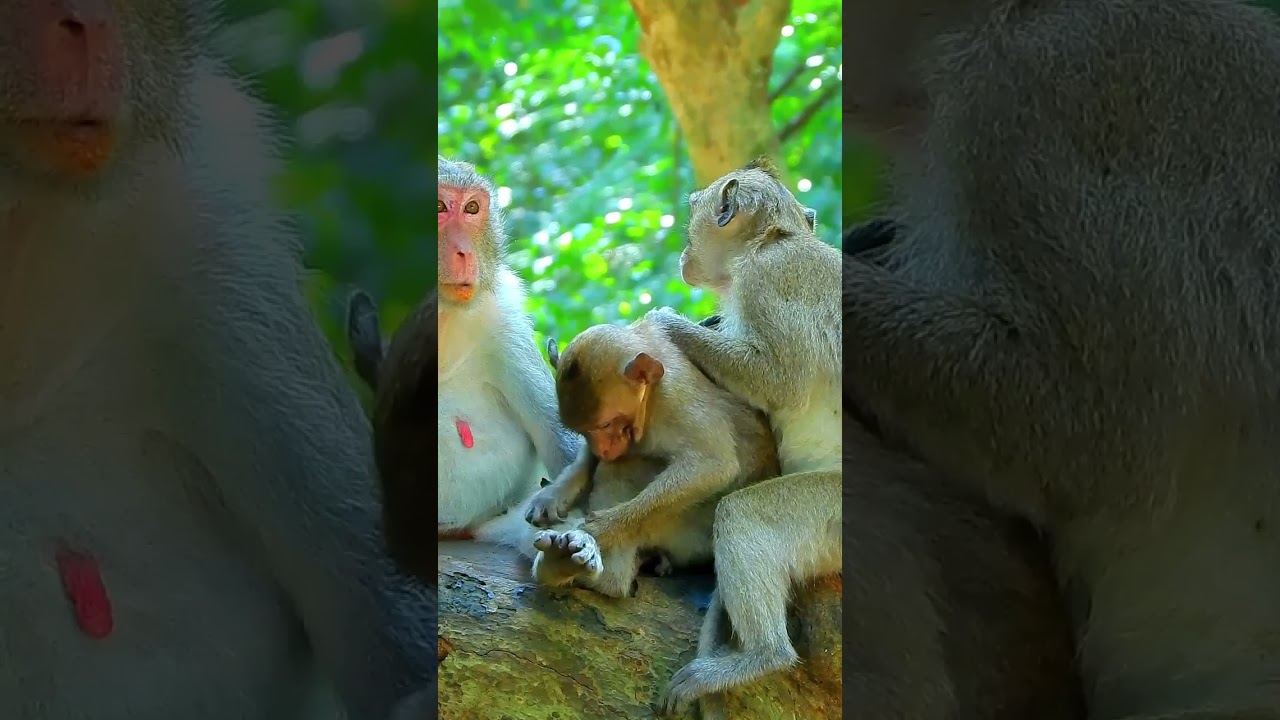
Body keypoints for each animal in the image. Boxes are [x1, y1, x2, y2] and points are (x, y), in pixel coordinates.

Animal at [641, 159, 842, 708]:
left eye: (693, 209)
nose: (684, 252)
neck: (771, 240)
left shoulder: (772, 280)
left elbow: (782, 382)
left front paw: (668, 322)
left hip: (838, 511)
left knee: (744, 514)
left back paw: (762, 656)